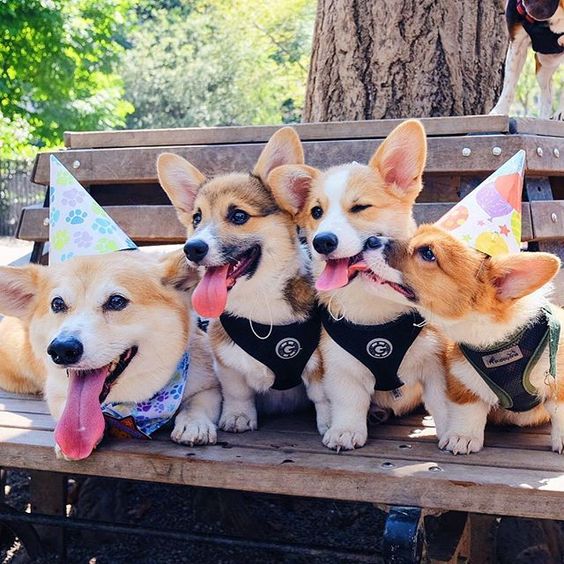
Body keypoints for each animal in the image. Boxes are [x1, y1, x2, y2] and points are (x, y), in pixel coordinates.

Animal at [0, 251, 221, 458]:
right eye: (57, 304)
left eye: (116, 301)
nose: (62, 349)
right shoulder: (56, 393)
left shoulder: (210, 385)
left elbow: (198, 403)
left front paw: (193, 424)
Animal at [156, 129, 328, 436]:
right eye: (197, 218)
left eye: (238, 216)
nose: (192, 249)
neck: (259, 300)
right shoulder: (227, 363)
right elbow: (238, 393)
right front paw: (237, 417)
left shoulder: (318, 364)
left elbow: (323, 398)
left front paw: (332, 426)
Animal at [366, 224, 564, 454]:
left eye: (427, 253)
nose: (370, 240)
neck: (495, 340)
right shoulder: (462, 381)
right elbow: (468, 410)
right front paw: (462, 437)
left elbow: (559, 411)